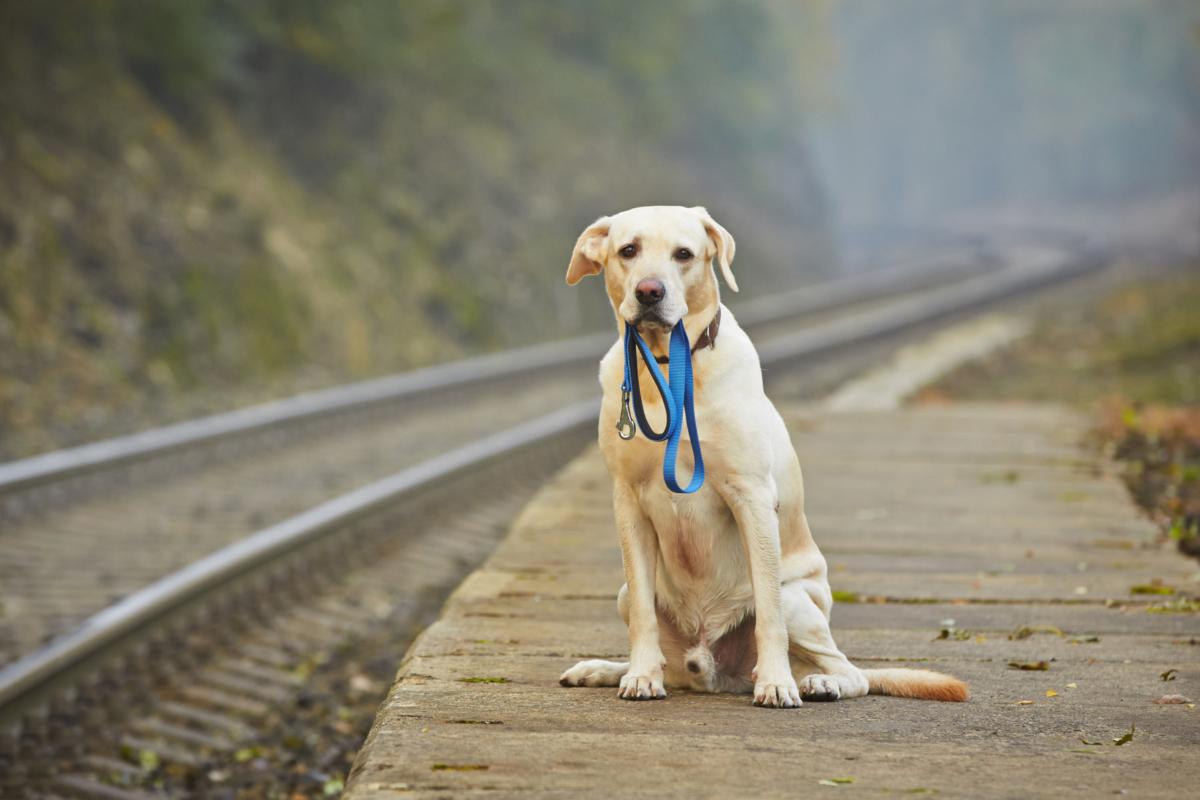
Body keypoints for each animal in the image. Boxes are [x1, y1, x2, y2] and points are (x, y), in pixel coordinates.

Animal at [559, 206, 964, 705]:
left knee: (851, 671)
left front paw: (775, 682)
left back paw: (817, 682)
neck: (670, 370)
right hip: (625, 596)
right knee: (658, 641)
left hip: (800, 603)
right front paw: (639, 676)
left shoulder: (751, 496)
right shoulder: (628, 501)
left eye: (684, 254)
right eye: (628, 250)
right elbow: (642, 613)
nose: (649, 291)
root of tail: (713, 670)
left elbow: (768, 611)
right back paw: (606, 669)